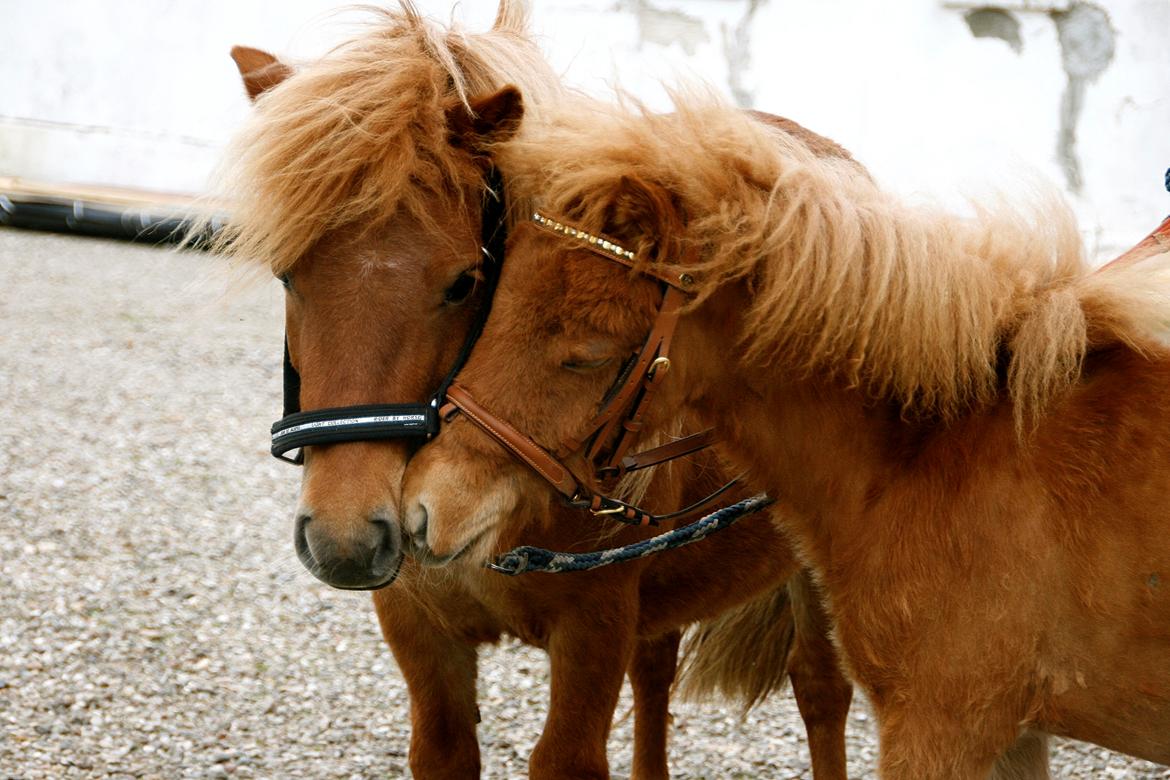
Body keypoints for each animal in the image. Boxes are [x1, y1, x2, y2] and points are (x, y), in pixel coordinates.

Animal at [210, 3, 856, 776]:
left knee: (820, 688)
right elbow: (445, 747)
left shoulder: (593, 631)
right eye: (286, 274)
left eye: (464, 282)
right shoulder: (419, 627)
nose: (344, 538)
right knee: (657, 673)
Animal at [400, 87, 1170, 780]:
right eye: (488, 307)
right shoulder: (1011, 737)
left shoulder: (945, 727)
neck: (944, 445)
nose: (424, 508)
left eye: (586, 353)